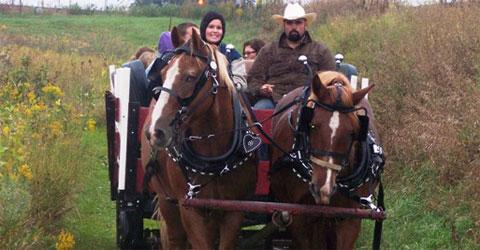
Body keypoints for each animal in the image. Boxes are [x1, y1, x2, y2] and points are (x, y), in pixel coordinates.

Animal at [142, 27, 258, 250]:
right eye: (163, 73)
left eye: (190, 77)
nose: (155, 131)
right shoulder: (189, 209)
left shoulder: (234, 211)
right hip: (166, 201)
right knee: (175, 238)